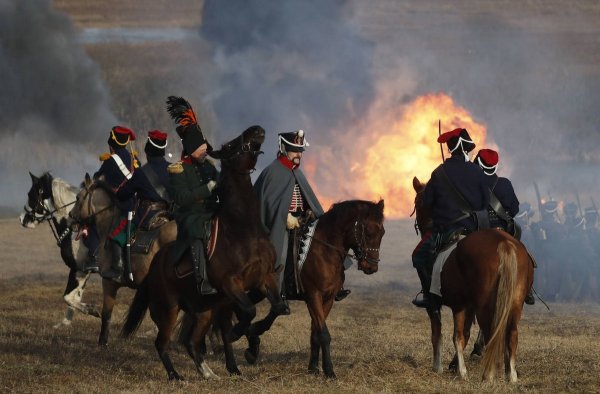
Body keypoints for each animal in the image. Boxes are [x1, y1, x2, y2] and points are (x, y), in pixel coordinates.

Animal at [19, 172, 100, 326]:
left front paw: (92, 310)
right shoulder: (80, 271)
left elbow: (67, 297)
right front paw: (65, 323)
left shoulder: (79, 269)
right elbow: (73, 297)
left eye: (31, 194)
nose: (22, 219)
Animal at [121, 124, 286, 380]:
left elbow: (278, 307)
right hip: (169, 310)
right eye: (230, 145)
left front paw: (254, 333)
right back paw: (175, 376)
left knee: (191, 342)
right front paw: (240, 334)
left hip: (204, 311)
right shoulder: (230, 283)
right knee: (162, 343)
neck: (243, 229)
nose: (256, 129)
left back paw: (211, 372)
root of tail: (155, 266)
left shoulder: (264, 278)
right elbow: (249, 310)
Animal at [243, 200, 386, 378]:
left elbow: (315, 333)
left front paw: (313, 368)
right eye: (368, 232)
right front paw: (329, 370)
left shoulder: (328, 298)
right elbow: (323, 334)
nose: (371, 267)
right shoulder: (313, 296)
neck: (325, 251)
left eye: (382, 232)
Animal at [412, 178, 536, 382]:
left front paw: (441, 367)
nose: (423, 228)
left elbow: (443, 333)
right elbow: (463, 334)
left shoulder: (442, 304)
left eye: (418, 202)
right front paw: (457, 367)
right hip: (514, 303)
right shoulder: (465, 305)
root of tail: (504, 243)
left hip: (484, 305)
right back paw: (511, 374)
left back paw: (489, 374)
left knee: (491, 331)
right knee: (511, 333)